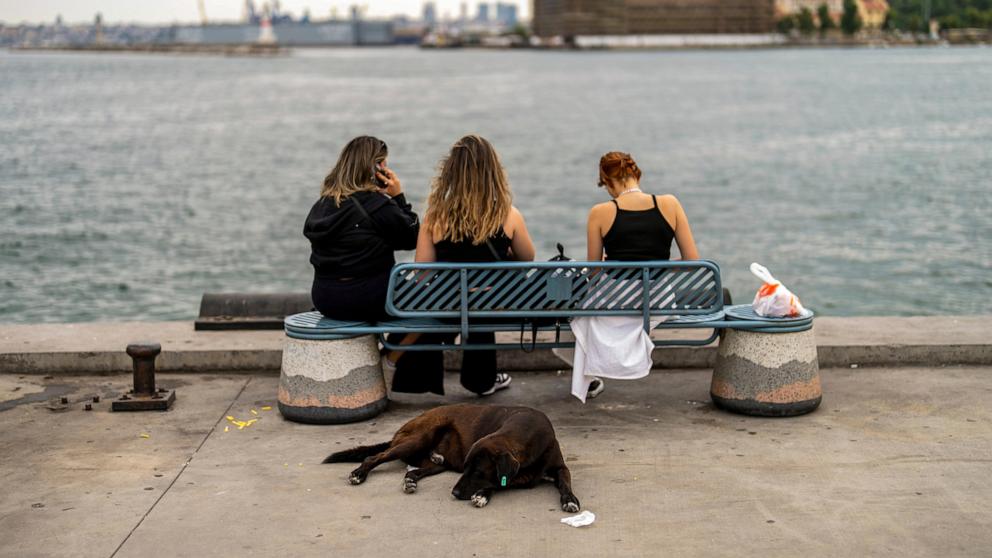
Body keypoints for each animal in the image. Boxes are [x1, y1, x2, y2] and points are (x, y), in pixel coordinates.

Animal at [322, 404, 576, 516]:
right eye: (466, 469)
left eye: (478, 472)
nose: (454, 493)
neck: (526, 431)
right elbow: (500, 482)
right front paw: (482, 495)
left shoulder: (560, 468)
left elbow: (565, 482)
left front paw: (570, 500)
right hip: (417, 438)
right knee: (374, 456)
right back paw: (358, 474)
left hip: (437, 465)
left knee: (414, 469)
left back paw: (412, 478)